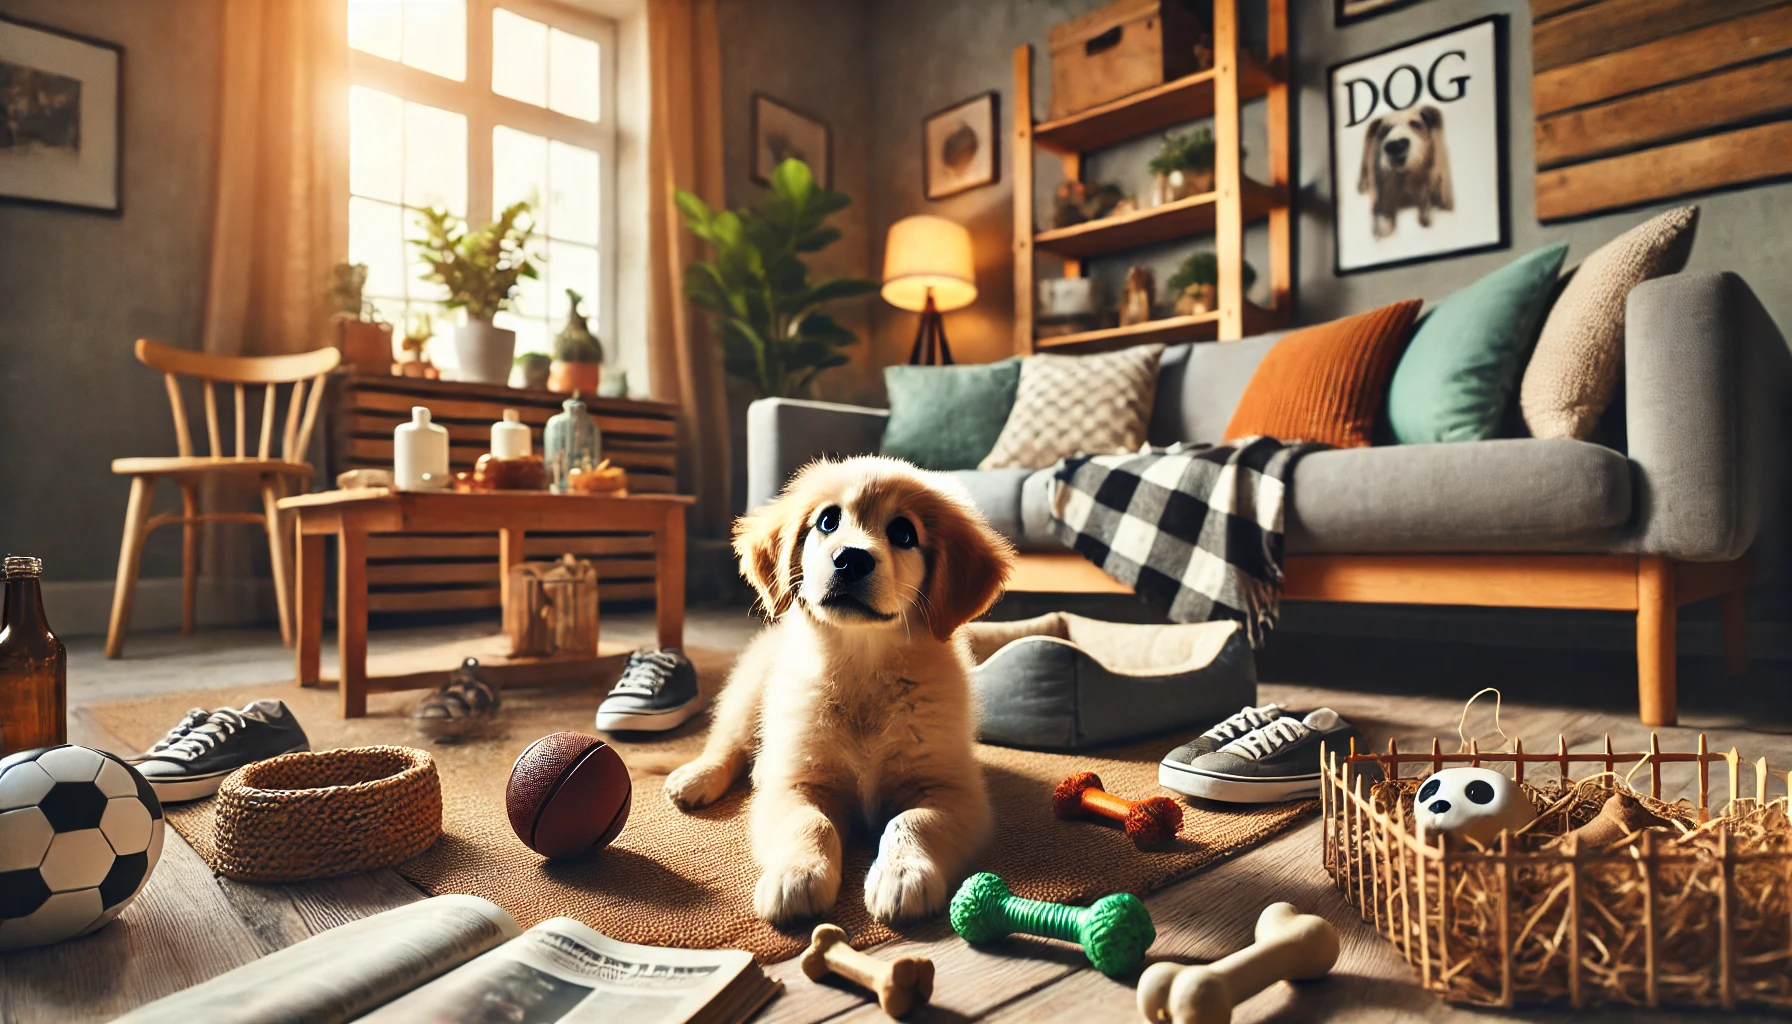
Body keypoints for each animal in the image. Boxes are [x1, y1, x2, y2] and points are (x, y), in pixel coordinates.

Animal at [666, 459, 1017, 925]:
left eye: (904, 533)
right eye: (828, 521)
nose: (850, 559)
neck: (863, 668)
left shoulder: (954, 792)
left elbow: (912, 821)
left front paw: (902, 873)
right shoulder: (796, 783)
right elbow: (810, 823)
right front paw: (797, 874)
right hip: (749, 692)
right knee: (729, 744)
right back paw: (695, 777)